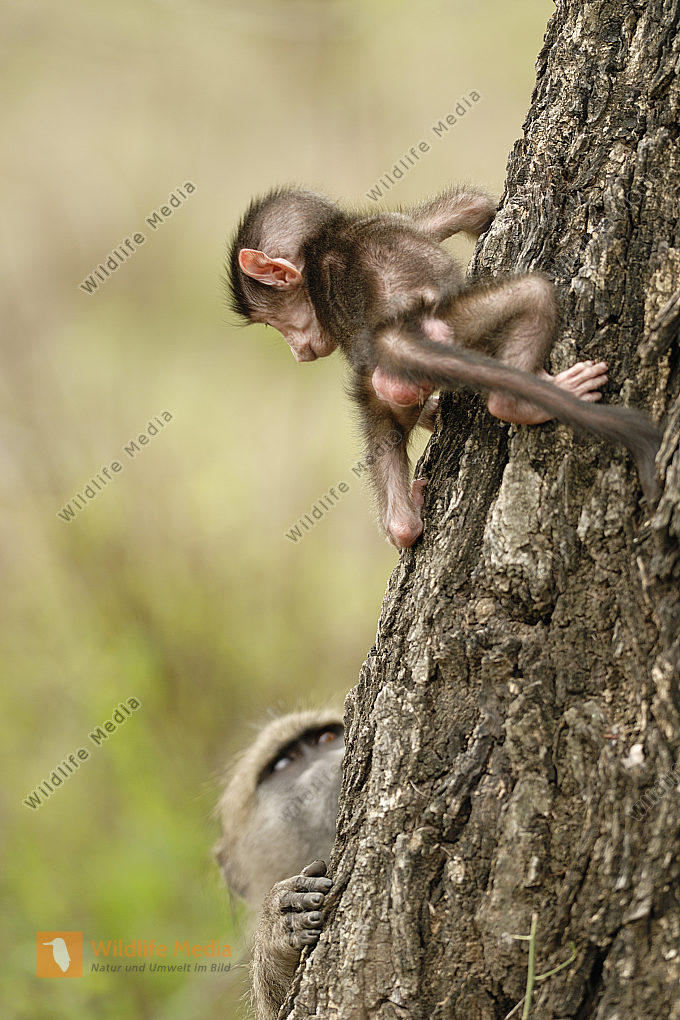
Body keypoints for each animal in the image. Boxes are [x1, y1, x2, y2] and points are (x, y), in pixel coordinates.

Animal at [226, 185, 662, 548]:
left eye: (274, 323)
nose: (297, 353)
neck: (323, 241)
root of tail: (392, 330)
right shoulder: (401, 222)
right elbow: (473, 207)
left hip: (376, 386)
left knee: (391, 453)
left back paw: (407, 519)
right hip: (458, 323)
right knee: (533, 294)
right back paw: (522, 403)